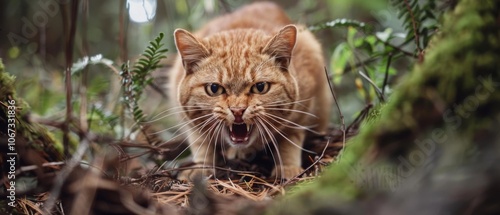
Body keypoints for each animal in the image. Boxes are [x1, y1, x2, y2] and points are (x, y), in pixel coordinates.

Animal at [169, 1, 332, 181]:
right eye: (214, 89)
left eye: (260, 87)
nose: (238, 110)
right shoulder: (187, 116)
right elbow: (201, 142)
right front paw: (201, 166)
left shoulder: (302, 108)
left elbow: (290, 139)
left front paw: (287, 166)